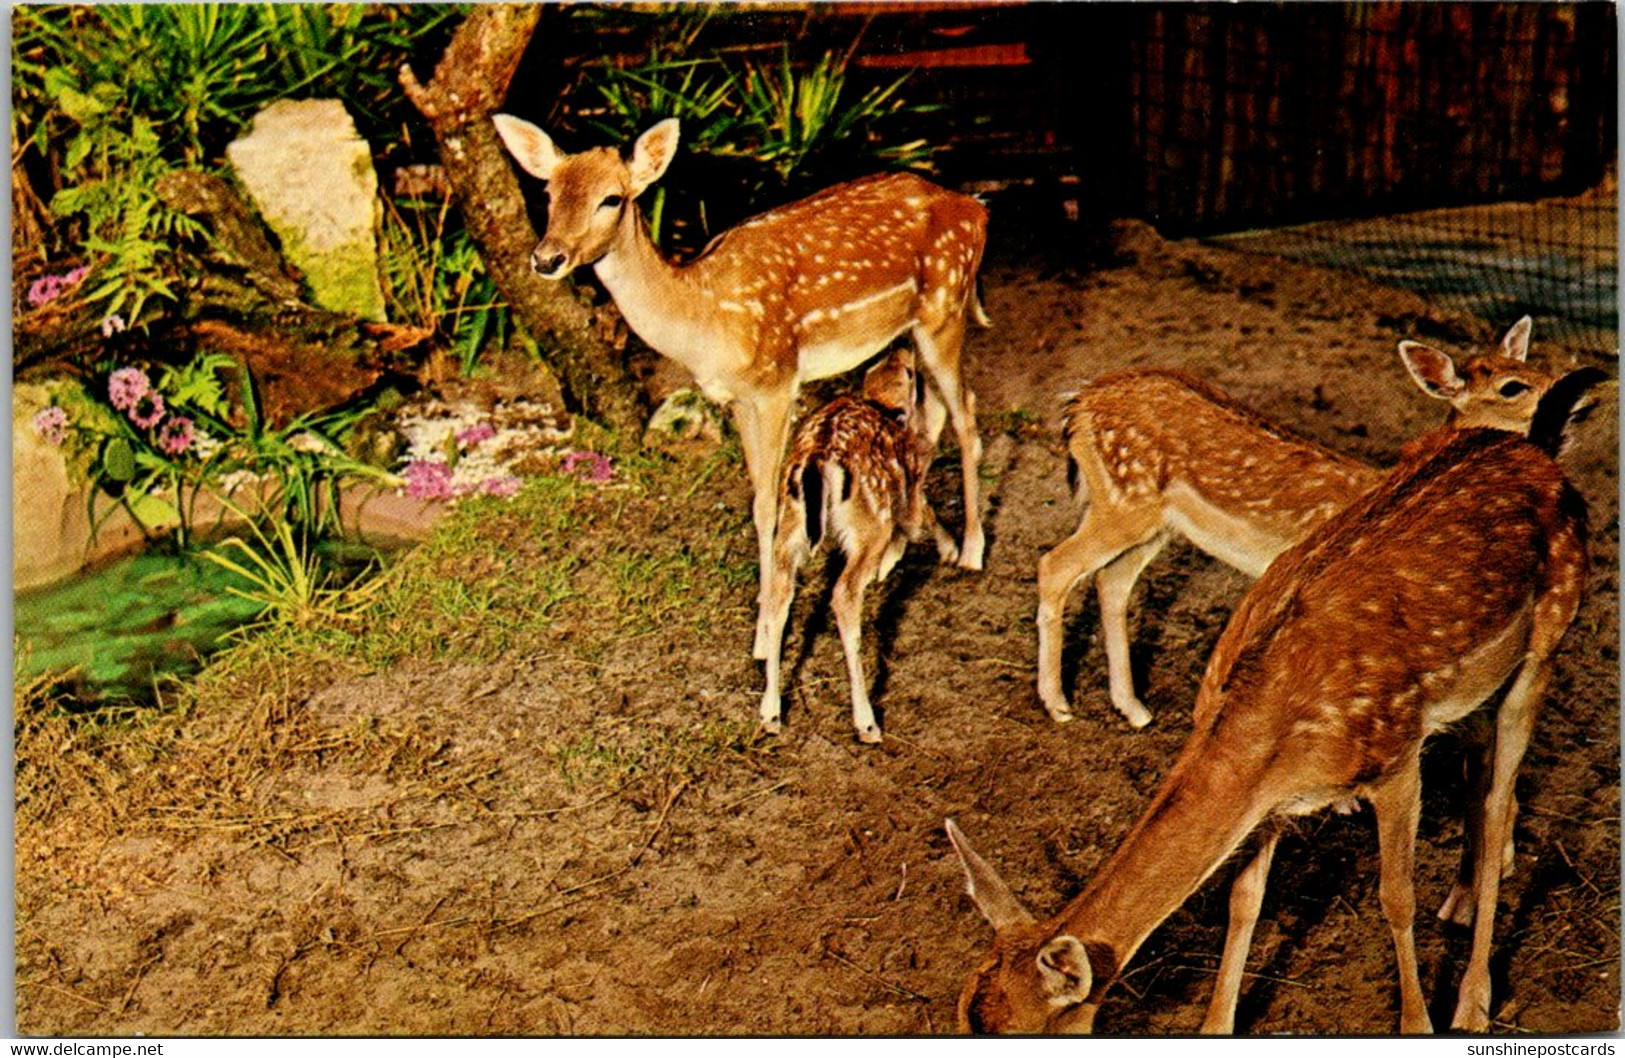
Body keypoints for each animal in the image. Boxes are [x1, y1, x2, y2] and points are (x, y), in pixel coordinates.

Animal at [487, 116, 981, 663]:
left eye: (611, 198)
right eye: (548, 192)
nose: (546, 258)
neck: (704, 312)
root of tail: (974, 206)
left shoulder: (777, 382)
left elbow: (767, 504)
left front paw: (767, 636)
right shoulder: (737, 397)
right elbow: (757, 502)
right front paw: (764, 633)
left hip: (946, 303)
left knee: (966, 414)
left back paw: (972, 551)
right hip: (913, 327)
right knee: (930, 416)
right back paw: (914, 550)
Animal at [754, 347, 955, 744]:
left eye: (877, 364)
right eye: (911, 375)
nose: (903, 349)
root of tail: (818, 460)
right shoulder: (910, 491)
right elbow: (922, 518)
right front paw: (951, 551)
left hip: (790, 526)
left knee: (779, 593)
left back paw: (770, 713)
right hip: (867, 524)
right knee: (844, 594)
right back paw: (867, 723)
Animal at [949, 364, 1605, 1033]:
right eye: (963, 1012)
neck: (1268, 733)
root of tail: (1537, 452)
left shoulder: (1395, 756)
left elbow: (1395, 897)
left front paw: (1417, 1022)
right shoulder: (1268, 803)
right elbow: (1243, 902)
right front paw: (1216, 1025)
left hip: (1548, 637)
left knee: (1499, 798)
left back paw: (1473, 1002)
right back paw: (1464, 906)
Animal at [1033, 315, 1553, 728]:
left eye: (1538, 369)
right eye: (1512, 387)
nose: (1565, 393)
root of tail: (1078, 402)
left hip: (1150, 520)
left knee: (1110, 582)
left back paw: (1134, 710)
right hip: (1123, 501)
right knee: (1054, 566)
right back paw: (1058, 705)